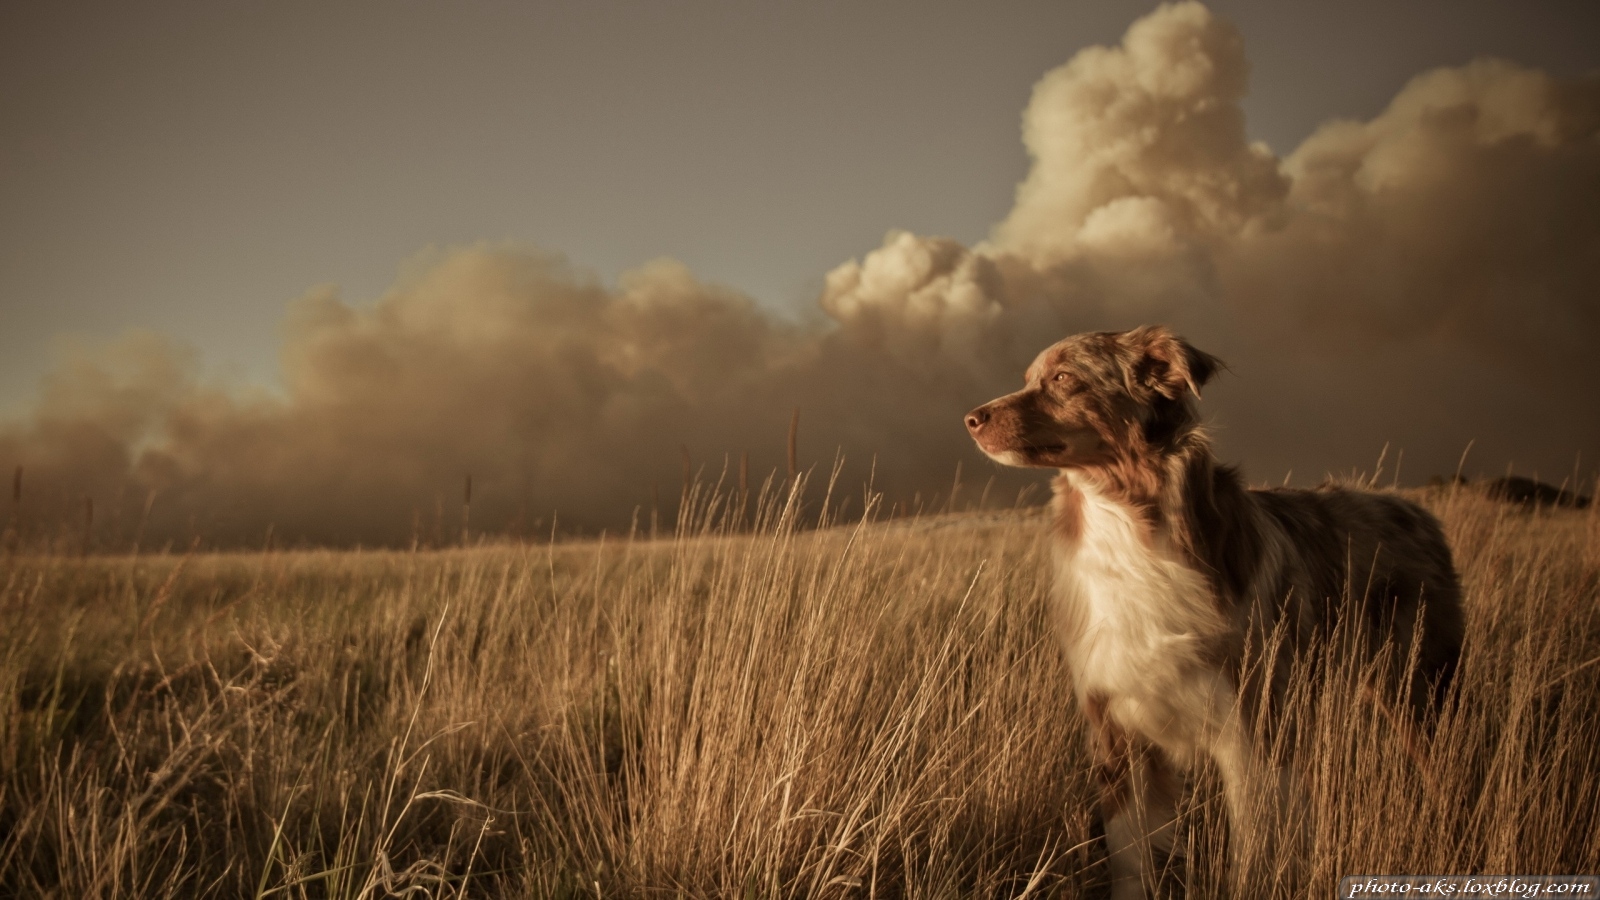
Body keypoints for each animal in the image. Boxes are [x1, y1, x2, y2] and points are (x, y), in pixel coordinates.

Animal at [960, 325, 1465, 890]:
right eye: (1029, 378)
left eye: (1065, 378)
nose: (972, 419)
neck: (1127, 523)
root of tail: (1415, 509)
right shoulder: (1117, 732)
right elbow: (1131, 859)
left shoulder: (1251, 732)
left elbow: (1254, 852)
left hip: (1421, 695)